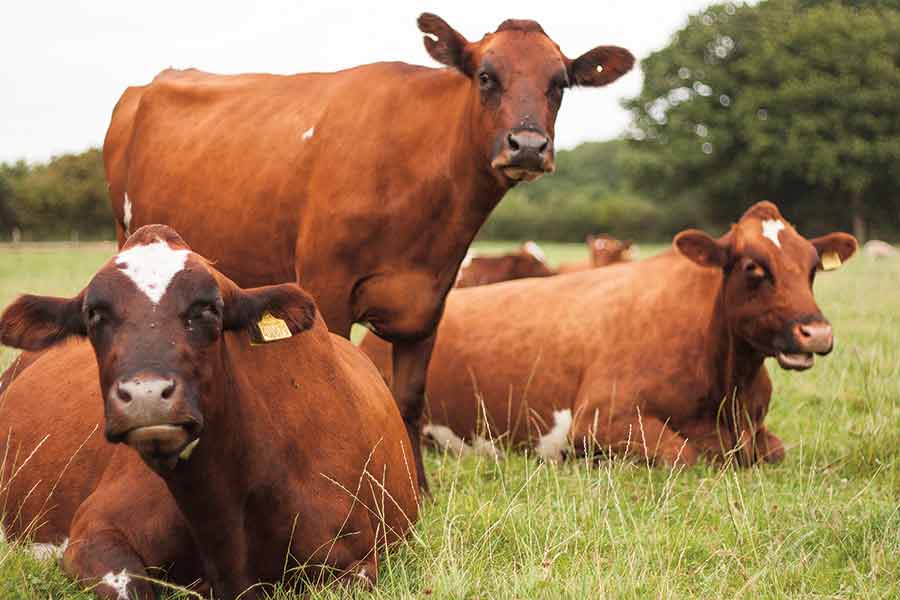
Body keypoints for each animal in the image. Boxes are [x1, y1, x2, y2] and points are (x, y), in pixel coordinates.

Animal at [103, 15, 632, 492]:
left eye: (560, 83)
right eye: (486, 76)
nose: (527, 146)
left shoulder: (429, 302)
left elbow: (409, 399)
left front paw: (418, 486)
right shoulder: (326, 288)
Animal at [360, 204, 856, 466]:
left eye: (813, 267)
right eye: (754, 267)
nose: (815, 332)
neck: (728, 385)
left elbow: (776, 450)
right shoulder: (598, 420)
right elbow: (685, 454)